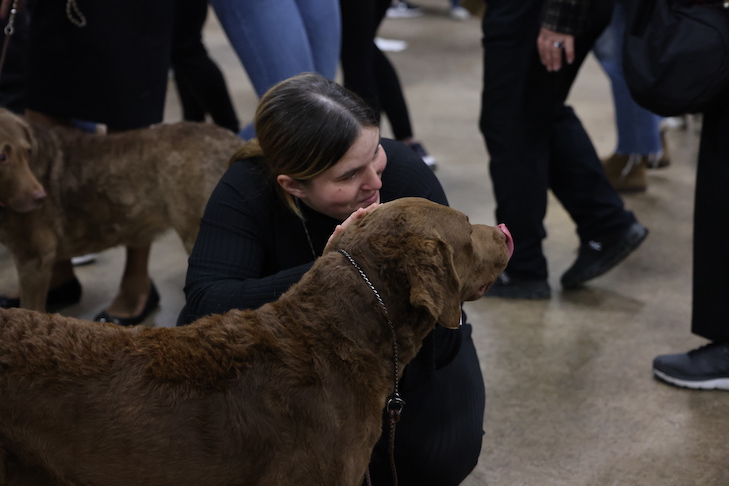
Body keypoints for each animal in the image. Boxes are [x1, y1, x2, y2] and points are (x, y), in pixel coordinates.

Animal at [0, 108, 245, 310]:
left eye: (26, 152)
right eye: (3, 156)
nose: (40, 197)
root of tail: (235, 142)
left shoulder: (33, 259)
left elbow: (30, 309)